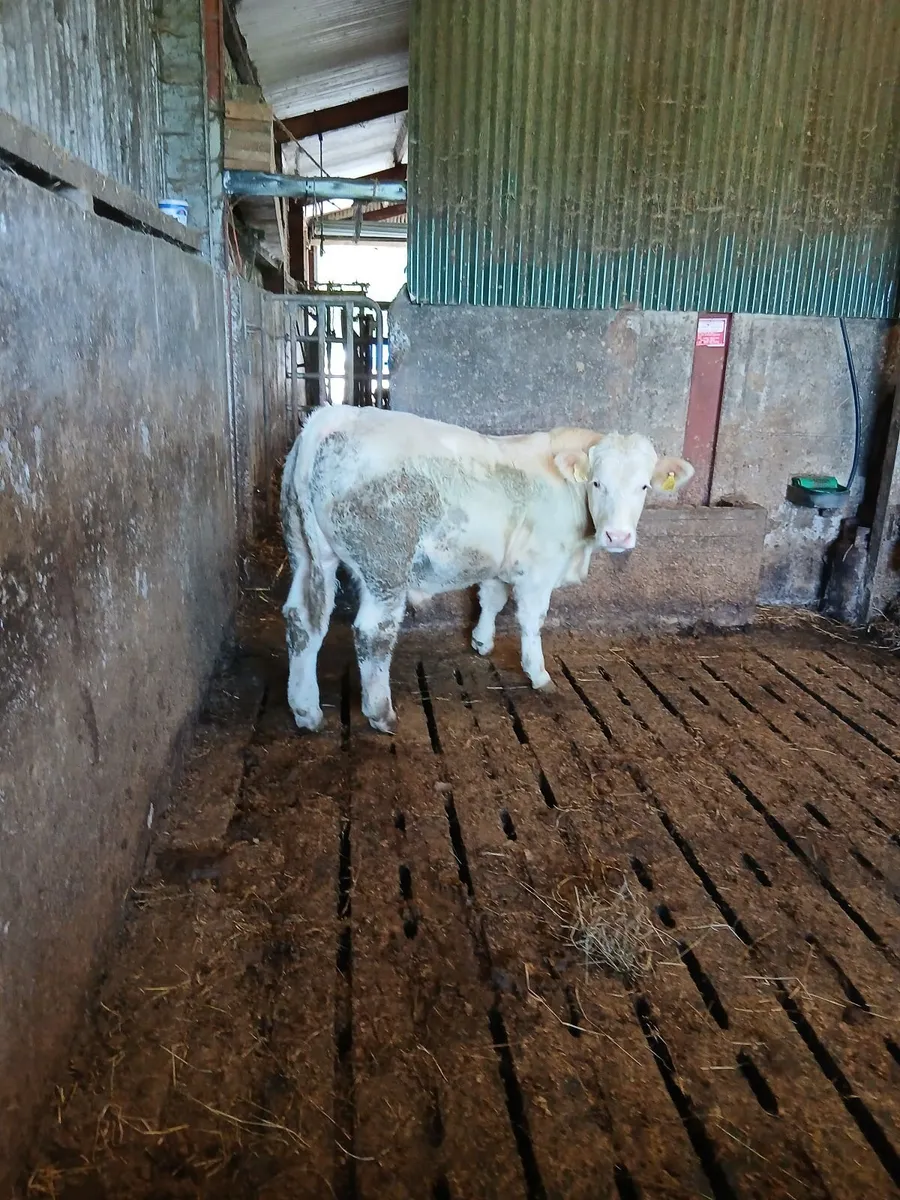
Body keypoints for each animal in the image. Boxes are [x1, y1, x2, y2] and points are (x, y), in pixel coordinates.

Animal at [280, 406, 693, 734]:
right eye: (597, 482)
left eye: (644, 486)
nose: (618, 536)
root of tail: (331, 418)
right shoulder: (540, 568)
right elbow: (531, 620)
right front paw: (538, 674)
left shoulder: (501, 561)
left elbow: (491, 598)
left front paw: (481, 641)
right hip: (384, 564)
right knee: (372, 633)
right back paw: (381, 713)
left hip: (306, 553)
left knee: (303, 620)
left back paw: (306, 710)